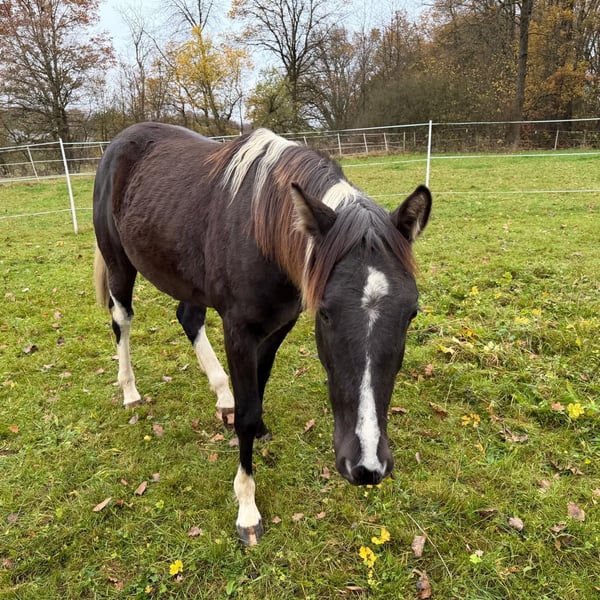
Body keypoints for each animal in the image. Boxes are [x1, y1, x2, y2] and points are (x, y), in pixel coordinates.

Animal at [92, 122, 431, 545]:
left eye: (411, 312)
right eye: (325, 312)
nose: (367, 466)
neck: (262, 234)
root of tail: (122, 139)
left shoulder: (280, 324)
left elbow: (259, 383)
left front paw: (253, 423)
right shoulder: (238, 329)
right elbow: (248, 412)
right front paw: (247, 508)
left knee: (189, 317)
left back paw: (222, 395)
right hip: (119, 264)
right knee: (121, 319)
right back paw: (130, 391)